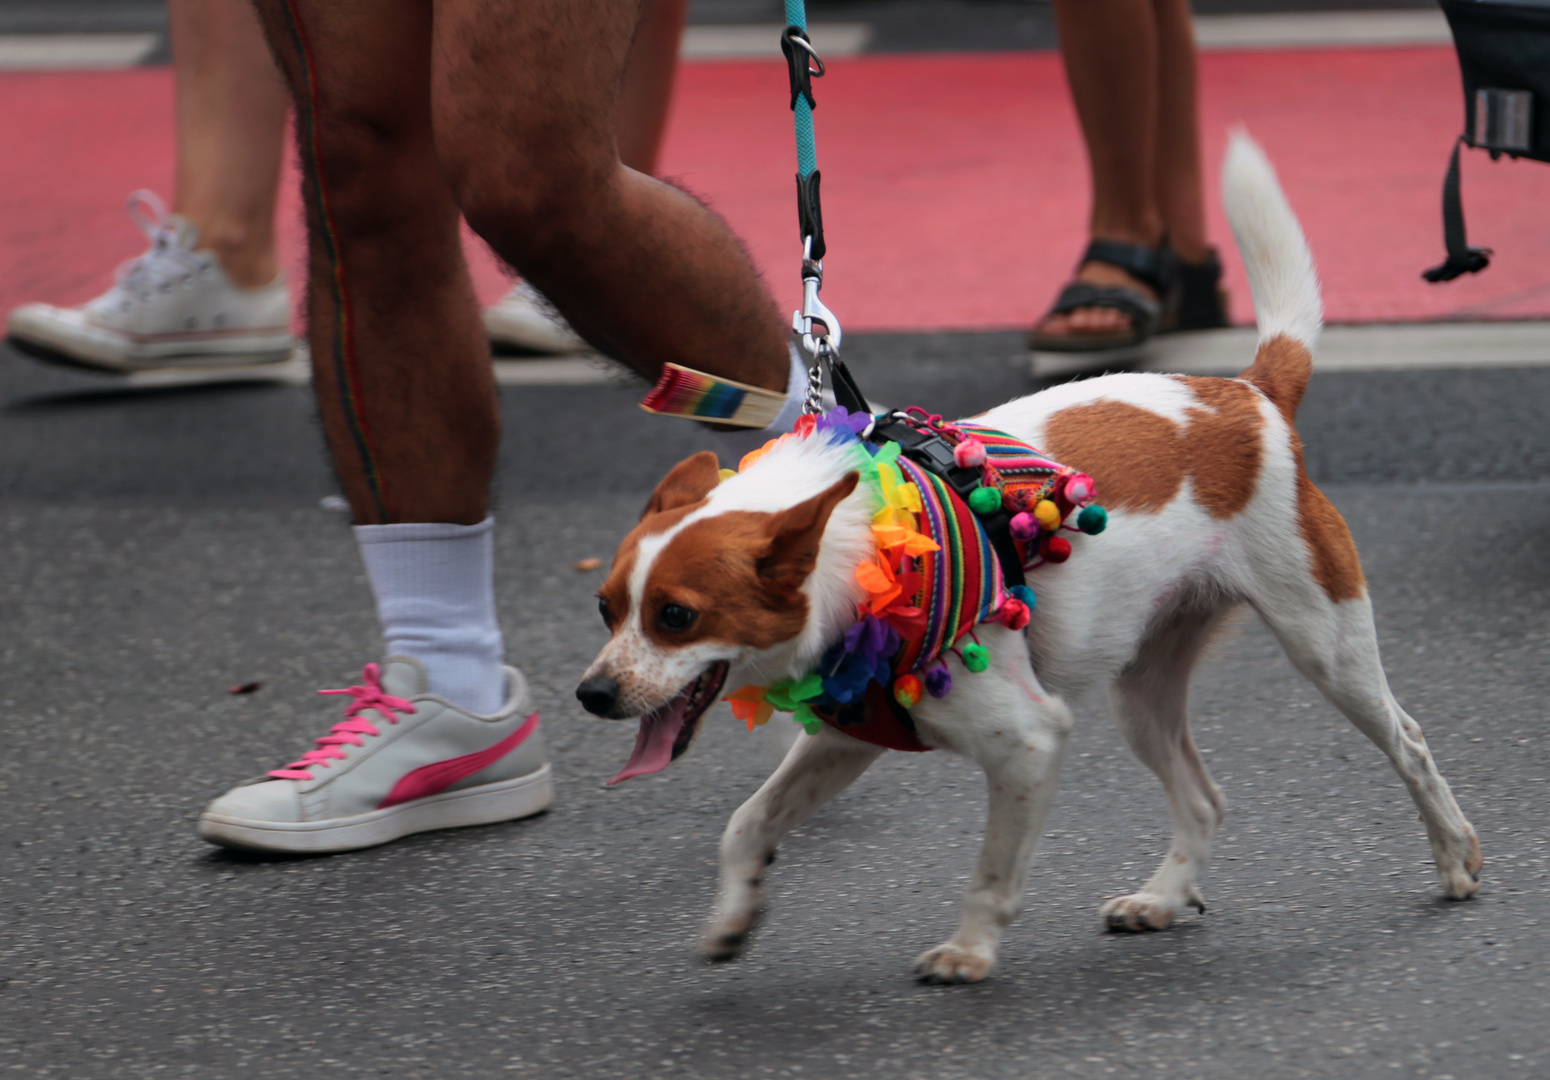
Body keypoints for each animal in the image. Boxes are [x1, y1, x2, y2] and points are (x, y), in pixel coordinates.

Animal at [576, 130, 1481, 979]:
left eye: (677, 617)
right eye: (606, 608)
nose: (591, 694)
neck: (863, 545)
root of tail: (1248, 393)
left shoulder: (1029, 743)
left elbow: (992, 872)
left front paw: (969, 952)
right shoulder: (847, 739)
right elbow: (747, 822)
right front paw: (734, 913)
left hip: (1324, 641)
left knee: (1408, 741)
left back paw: (1455, 856)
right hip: (1143, 688)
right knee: (1204, 799)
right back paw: (1163, 898)